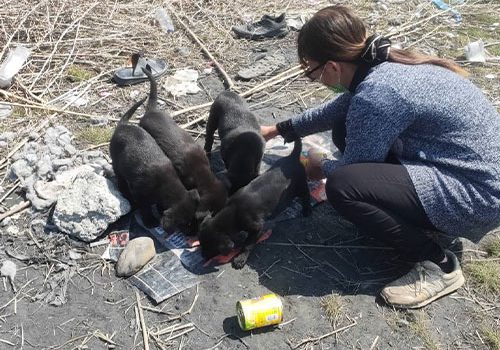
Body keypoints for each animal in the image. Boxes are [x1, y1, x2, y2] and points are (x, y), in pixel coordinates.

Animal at [110, 97, 200, 234]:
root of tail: (122, 125)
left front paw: (159, 209)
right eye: (185, 224)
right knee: (120, 178)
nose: (194, 233)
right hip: (117, 165)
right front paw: (150, 221)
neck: (166, 185)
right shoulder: (140, 195)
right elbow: (145, 208)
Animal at [197, 139, 310, 268]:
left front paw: (240, 258)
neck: (233, 211)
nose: (202, 256)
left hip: (301, 186)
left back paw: (307, 210)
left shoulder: (257, 227)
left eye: (210, 248)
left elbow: (248, 245)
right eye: (201, 244)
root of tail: (293, 156)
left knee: (306, 195)